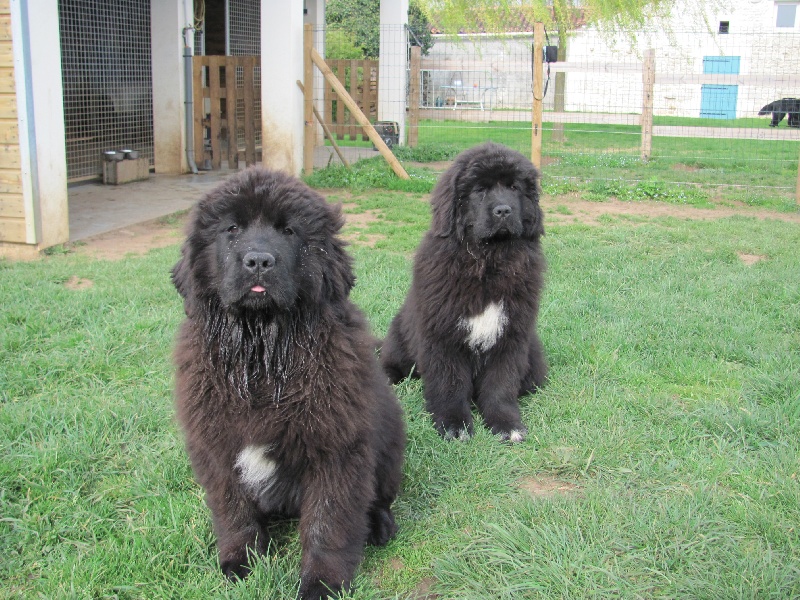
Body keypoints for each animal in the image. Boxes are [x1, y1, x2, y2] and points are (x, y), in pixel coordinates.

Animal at [170, 165, 406, 600]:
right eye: (231, 228)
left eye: (289, 231)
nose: (259, 260)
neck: (263, 356)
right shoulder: (216, 446)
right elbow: (234, 509)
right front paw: (240, 561)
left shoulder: (337, 449)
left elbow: (328, 522)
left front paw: (322, 584)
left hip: (389, 441)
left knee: (378, 497)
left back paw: (379, 527)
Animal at [382, 142, 548, 440]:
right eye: (480, 189)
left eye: (514, 187)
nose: (503, 211)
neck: (488, 261)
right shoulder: (442, 335)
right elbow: (449, 383)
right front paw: (454, 425)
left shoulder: (511, 335)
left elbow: (501, 385)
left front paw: (507, 425)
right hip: (400, 336)